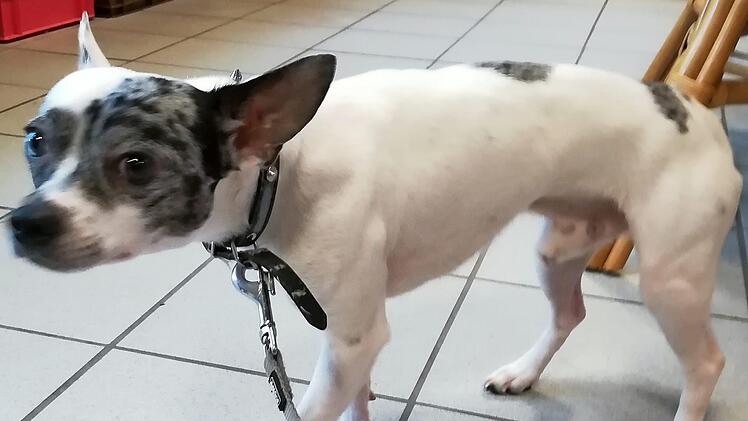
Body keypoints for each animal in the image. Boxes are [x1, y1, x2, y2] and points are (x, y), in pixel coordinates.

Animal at [7, 16, 741, 421]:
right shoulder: (348, 340)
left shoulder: (355, 336)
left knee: (706, 363)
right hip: (559, 247)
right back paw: (523, 372)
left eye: (136, 164)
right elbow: (357, 403)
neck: (282, 167)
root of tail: (695, 109)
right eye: (36, 140)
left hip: (671, 280)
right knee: (570, 314)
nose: (25, 222)